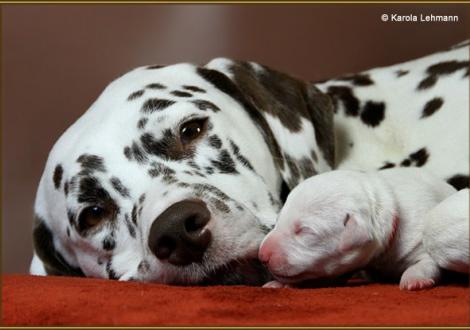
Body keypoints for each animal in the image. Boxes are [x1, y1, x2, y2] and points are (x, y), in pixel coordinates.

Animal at [258, 169, 458, 290]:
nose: (262, 256)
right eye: (278, 220)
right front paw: (278, 284)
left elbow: (427, 263)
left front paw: (414, 279)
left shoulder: (421, 243)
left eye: (305, 231)